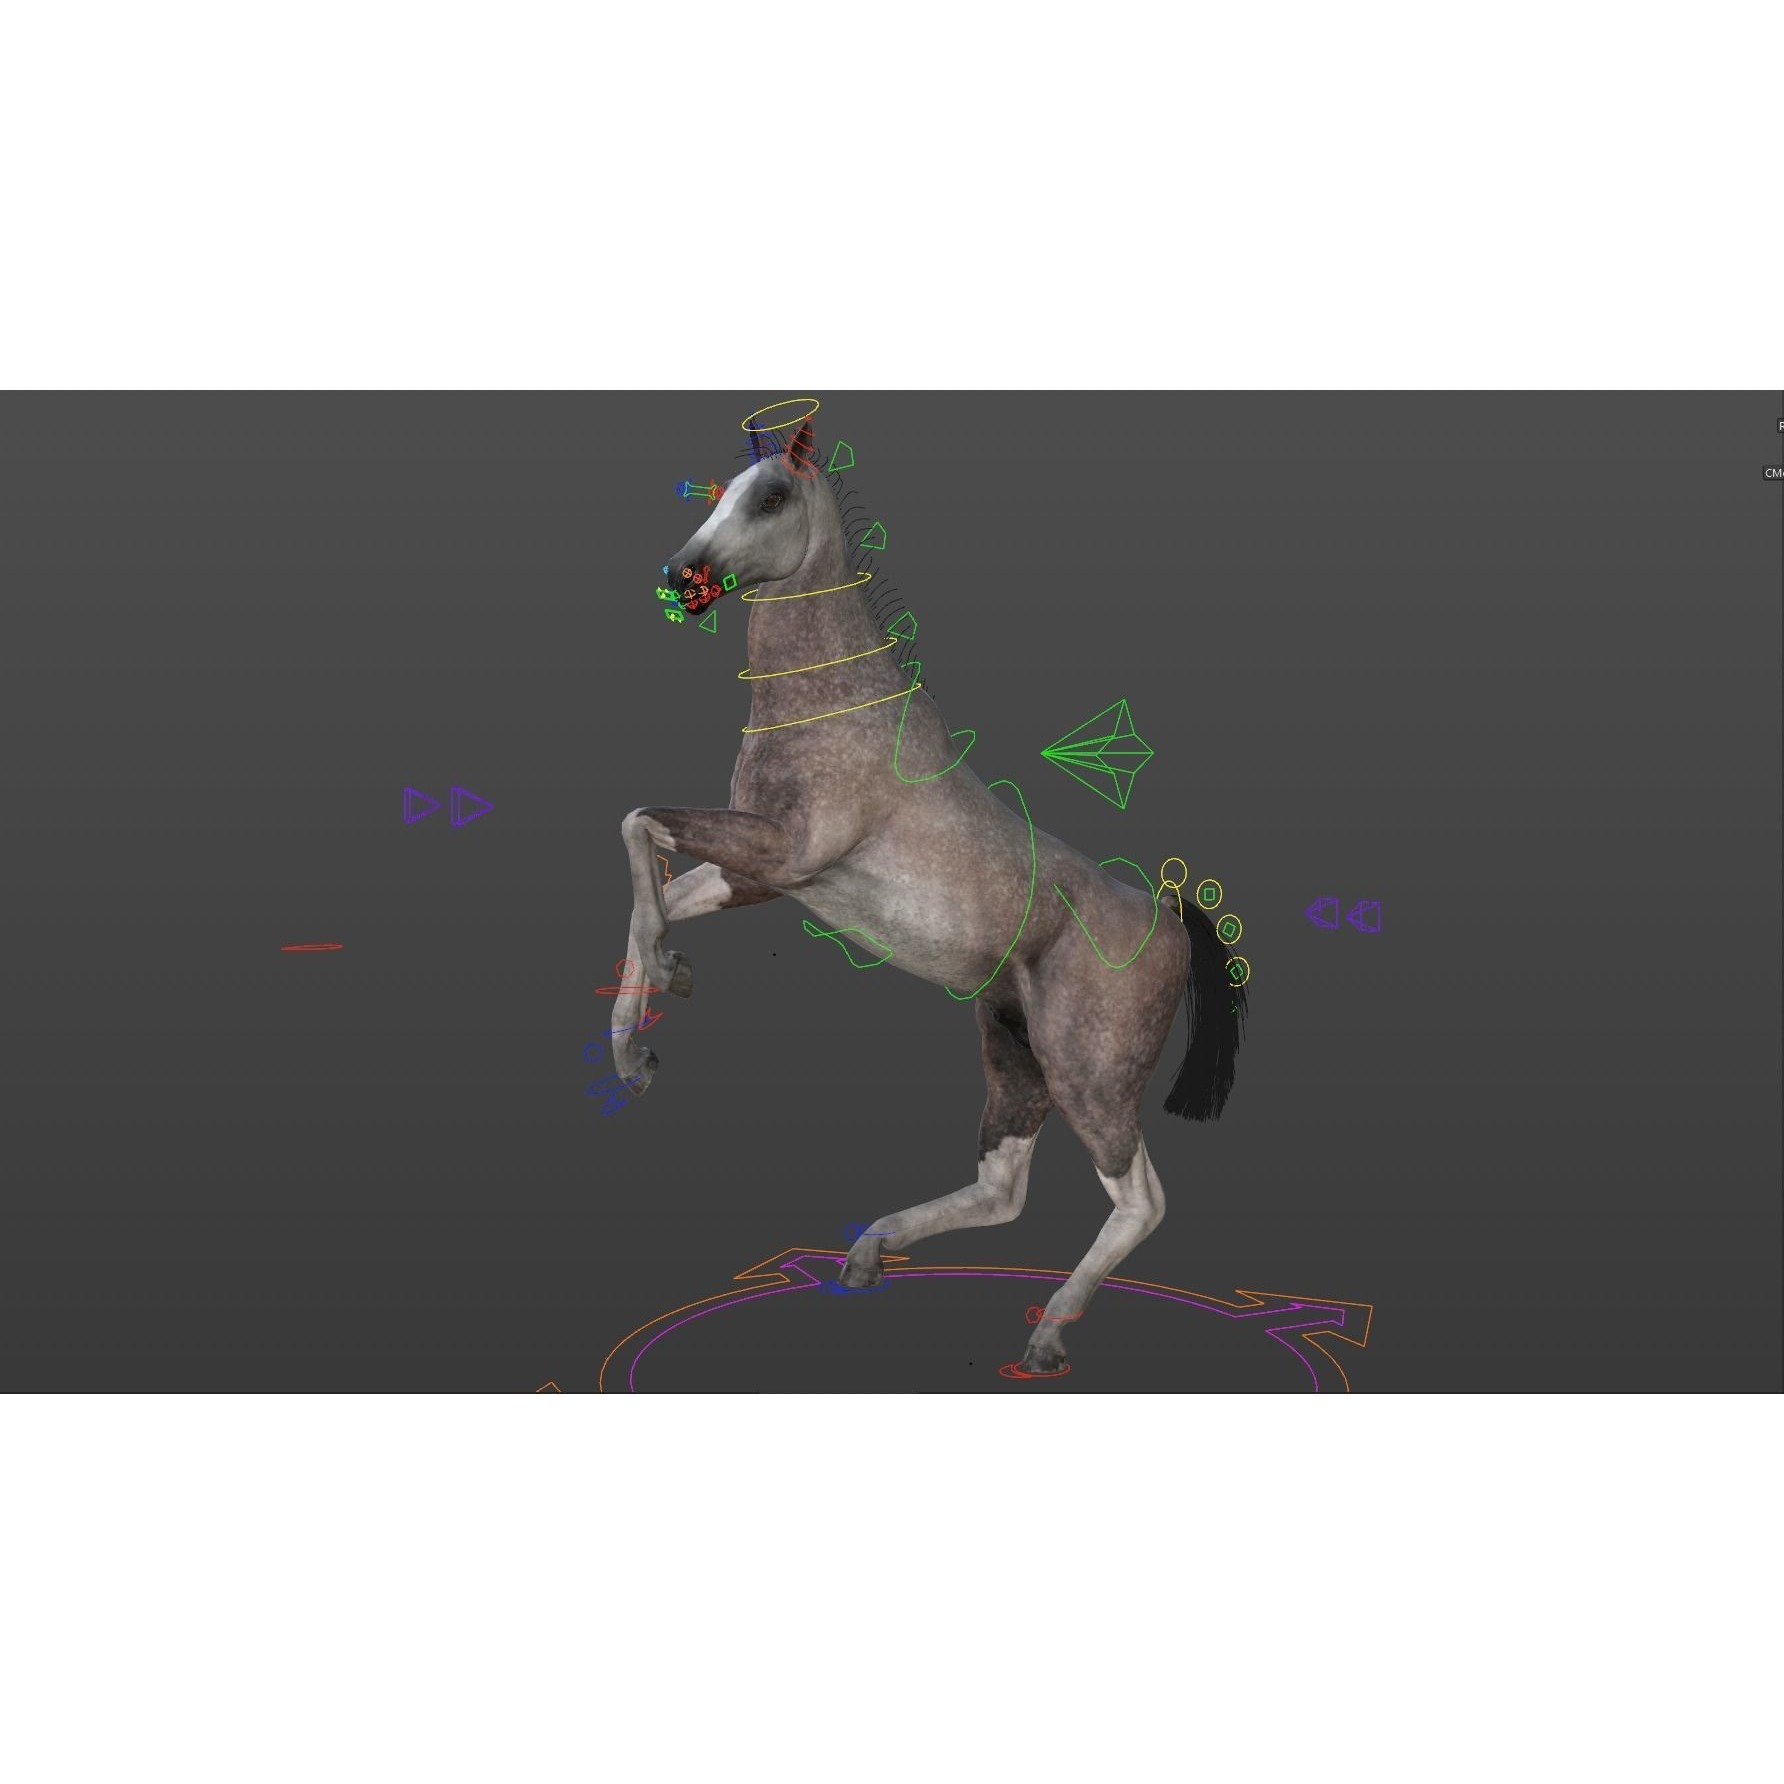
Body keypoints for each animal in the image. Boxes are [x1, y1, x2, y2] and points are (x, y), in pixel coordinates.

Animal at [609, 413, 1246, 1376]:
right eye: (722, 491)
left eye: (771, 497)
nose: (684, 578)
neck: (834, 706)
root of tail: (1166, 919)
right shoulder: (763, 875)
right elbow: (648, 877)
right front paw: (643, 1039)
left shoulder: (786, 854)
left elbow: (638, 826)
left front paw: (658, 993)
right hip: (1014, 1051)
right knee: (1003, 1186)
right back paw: (871, 1250)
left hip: (1088, 1075)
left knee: (1139, 1199)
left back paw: (1048, 1334)